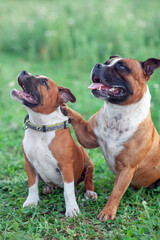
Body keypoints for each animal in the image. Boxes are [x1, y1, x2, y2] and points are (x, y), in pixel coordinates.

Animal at [11, 70, 97, 217]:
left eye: (44, 82)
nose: (24, 71)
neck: (41, 126)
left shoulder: (66, 166)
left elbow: (68, 191)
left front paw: (72, 209)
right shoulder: (29, 164)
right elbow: (32, 185)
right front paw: (31, 202)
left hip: (88, 161)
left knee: (88, 179)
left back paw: (90, 193)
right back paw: (48, 188)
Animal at [62, 56, 160, 221]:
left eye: (122, 67)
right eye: (106, 63)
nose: (97, 65)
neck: (118, 114)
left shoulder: (127, 168)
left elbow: (116, 192)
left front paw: (107, 212)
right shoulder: (87, 137)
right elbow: (77, 117)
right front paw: (64, 106)